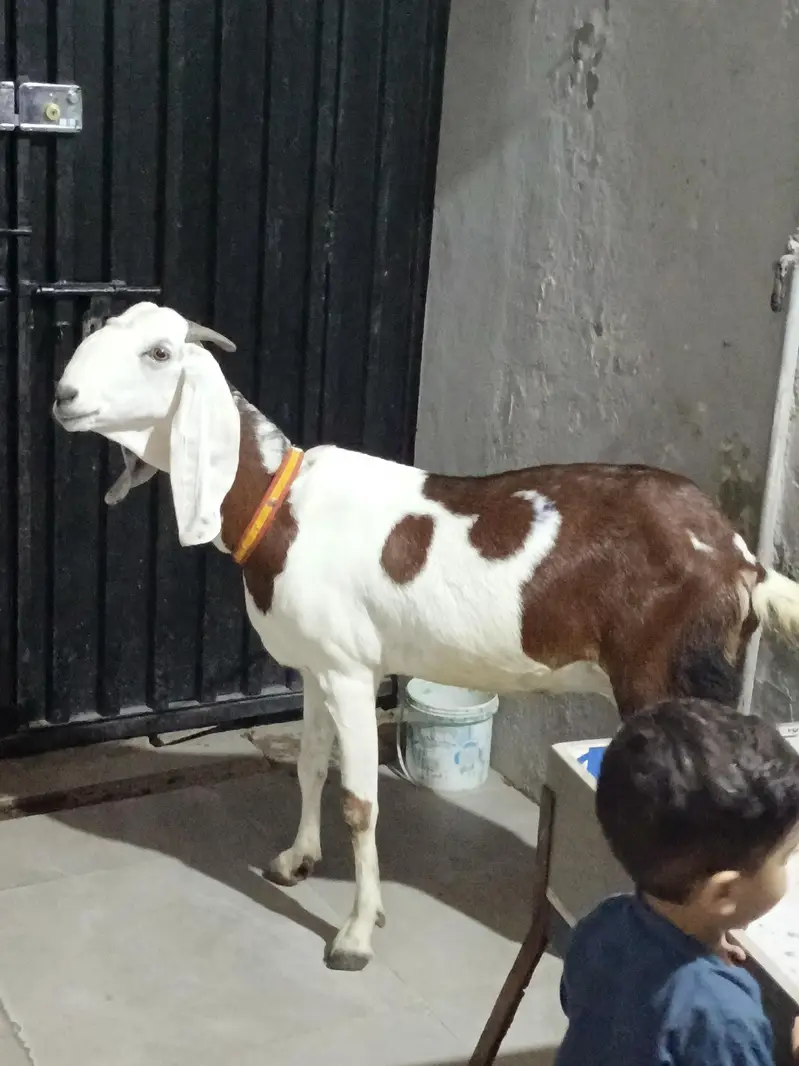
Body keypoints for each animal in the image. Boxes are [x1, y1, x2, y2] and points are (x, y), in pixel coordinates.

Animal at [53, 302, 799, 971]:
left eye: (159, 352)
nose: (64, 397)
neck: (281, 504)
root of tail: (740, 560)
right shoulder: (317, 666)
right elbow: (309, 764)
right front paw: (296, 860)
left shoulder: (352, 672)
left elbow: (359, 802)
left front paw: (356, 934)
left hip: (665, 676)